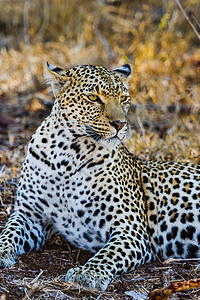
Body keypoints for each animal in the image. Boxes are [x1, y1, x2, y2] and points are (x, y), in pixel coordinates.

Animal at [0, 62, 200, 292]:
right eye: (93, 98)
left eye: (124, 98)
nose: (120, 124)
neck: (67, 155)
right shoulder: (29, 214)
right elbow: (8, 232)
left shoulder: (130, 229)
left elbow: (109, 253)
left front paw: (88, 273)